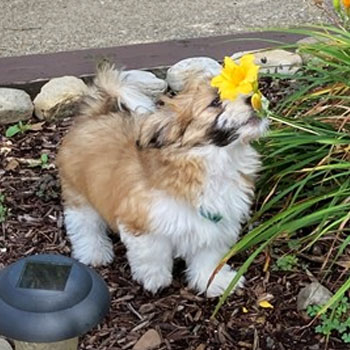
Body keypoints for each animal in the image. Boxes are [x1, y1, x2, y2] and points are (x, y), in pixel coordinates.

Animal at [56, 64, 268, 296]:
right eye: (215, 102)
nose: (252, 97)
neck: (213, 159)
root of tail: (95, 115)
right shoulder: (142, 223)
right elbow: (152, 254)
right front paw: (155, 278)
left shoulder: (215, 223)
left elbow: (208, 255)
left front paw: (212, 280)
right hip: (78, 192)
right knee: (84, 224)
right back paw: (94, 251)